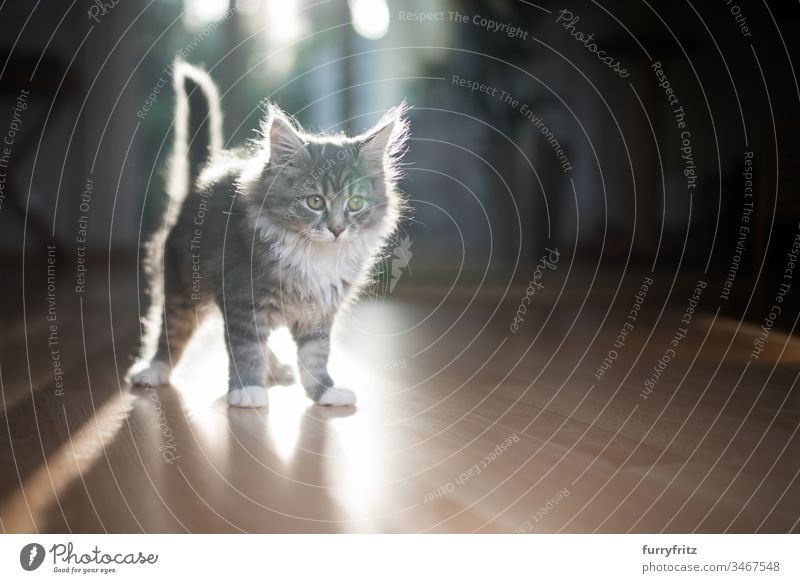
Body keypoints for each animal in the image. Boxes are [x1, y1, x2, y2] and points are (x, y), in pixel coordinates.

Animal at [130, 58, 410, 406]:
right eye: (314, 201)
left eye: (355, 203)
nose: (337, 229)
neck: (313, 255)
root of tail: (202, 180)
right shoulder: (241, 298)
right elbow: (246, 348)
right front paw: (248, 390)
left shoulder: (320, 312)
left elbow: (315, 355)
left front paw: (324, 390)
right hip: (183, 283)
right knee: (171, 330)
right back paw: (154, 370)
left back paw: (275, 369)